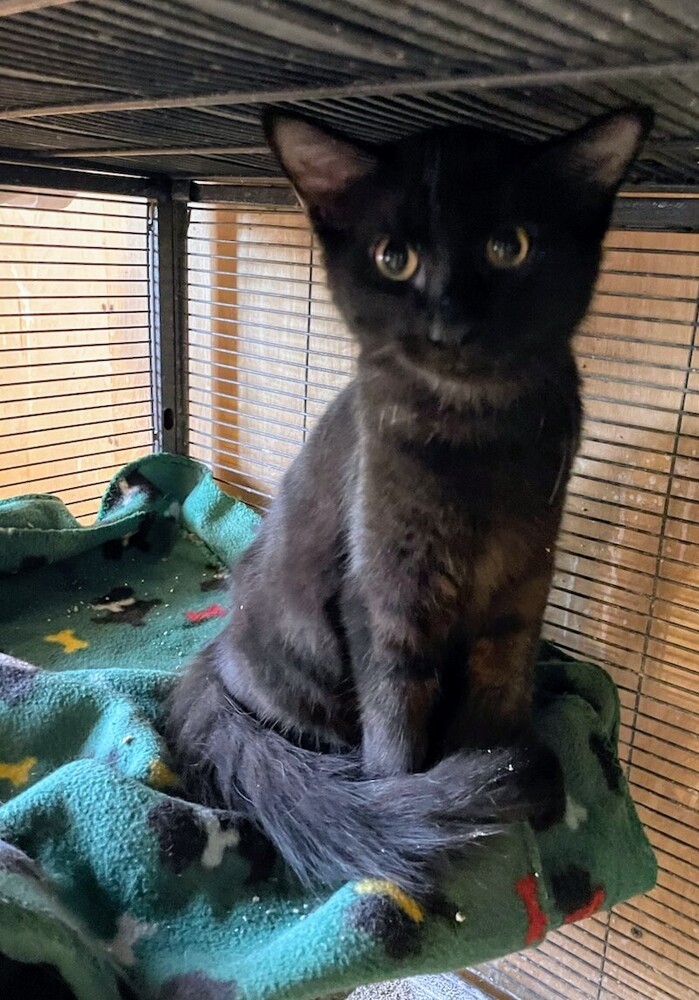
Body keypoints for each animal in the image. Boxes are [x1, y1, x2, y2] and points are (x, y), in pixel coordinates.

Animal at [168, 105, 652, 896]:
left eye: (508, 247)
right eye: (393, 259)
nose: (447, 322)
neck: (475, 438)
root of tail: (211, 655)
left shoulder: (519, 599)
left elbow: (495, 703)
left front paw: (495, 790)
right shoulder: (387, 602)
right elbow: (395, 726)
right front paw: (409, 811)